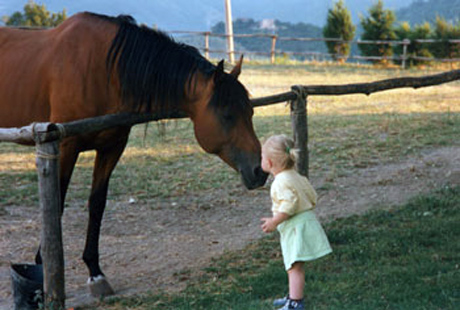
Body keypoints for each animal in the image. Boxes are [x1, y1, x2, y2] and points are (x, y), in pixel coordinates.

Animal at [0, 12, 268, 296]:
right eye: (227, 115)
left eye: (250, 111)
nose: (259, 170)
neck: (103, 69)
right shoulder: (64, 146)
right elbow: (56, 205)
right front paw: (42, 270)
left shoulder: (112, 148)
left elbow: (97, 205)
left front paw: (95, 273)